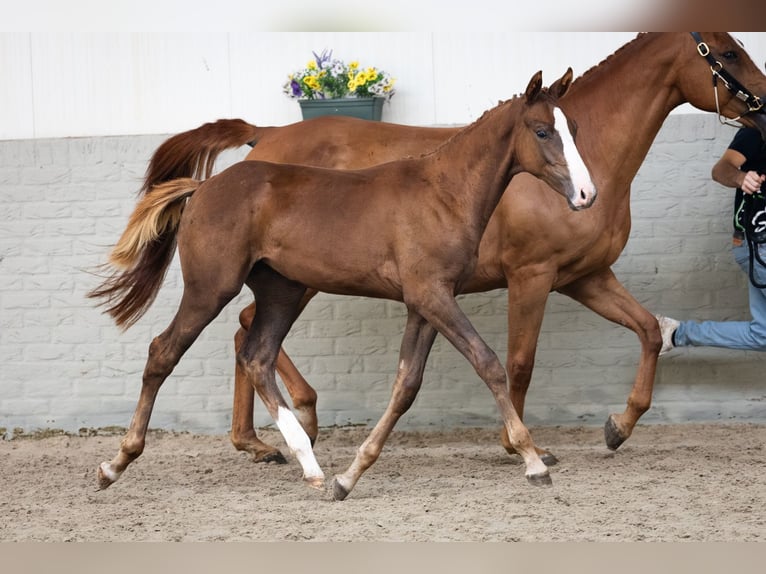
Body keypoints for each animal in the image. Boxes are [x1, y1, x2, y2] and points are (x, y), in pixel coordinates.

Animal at [89, 70, 597, 499]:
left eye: (573, 126)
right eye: (542, 131)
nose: (587, 194)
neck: (443, 194)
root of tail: (203, 188)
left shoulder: (425, 302)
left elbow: (406, 385)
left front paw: (348, 477)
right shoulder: (433, 295)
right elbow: (488, 363)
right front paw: (533, 461)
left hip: (282, 291)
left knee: (257, 356)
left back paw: (310, 465)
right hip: (210, 288)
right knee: (164, 351)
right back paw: (115, 464)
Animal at [136, 32, 766, 466]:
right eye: (728, 52)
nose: (762, 103)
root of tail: (265, 137)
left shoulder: (586, 277)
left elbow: (648, 331)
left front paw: (619, 426)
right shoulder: (533, 276)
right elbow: (519, 361)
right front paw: (520, 446)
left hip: (289, 277)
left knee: (247, 333)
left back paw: (264, 438)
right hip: (294, 277)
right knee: (244, 331)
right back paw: (293, 423)